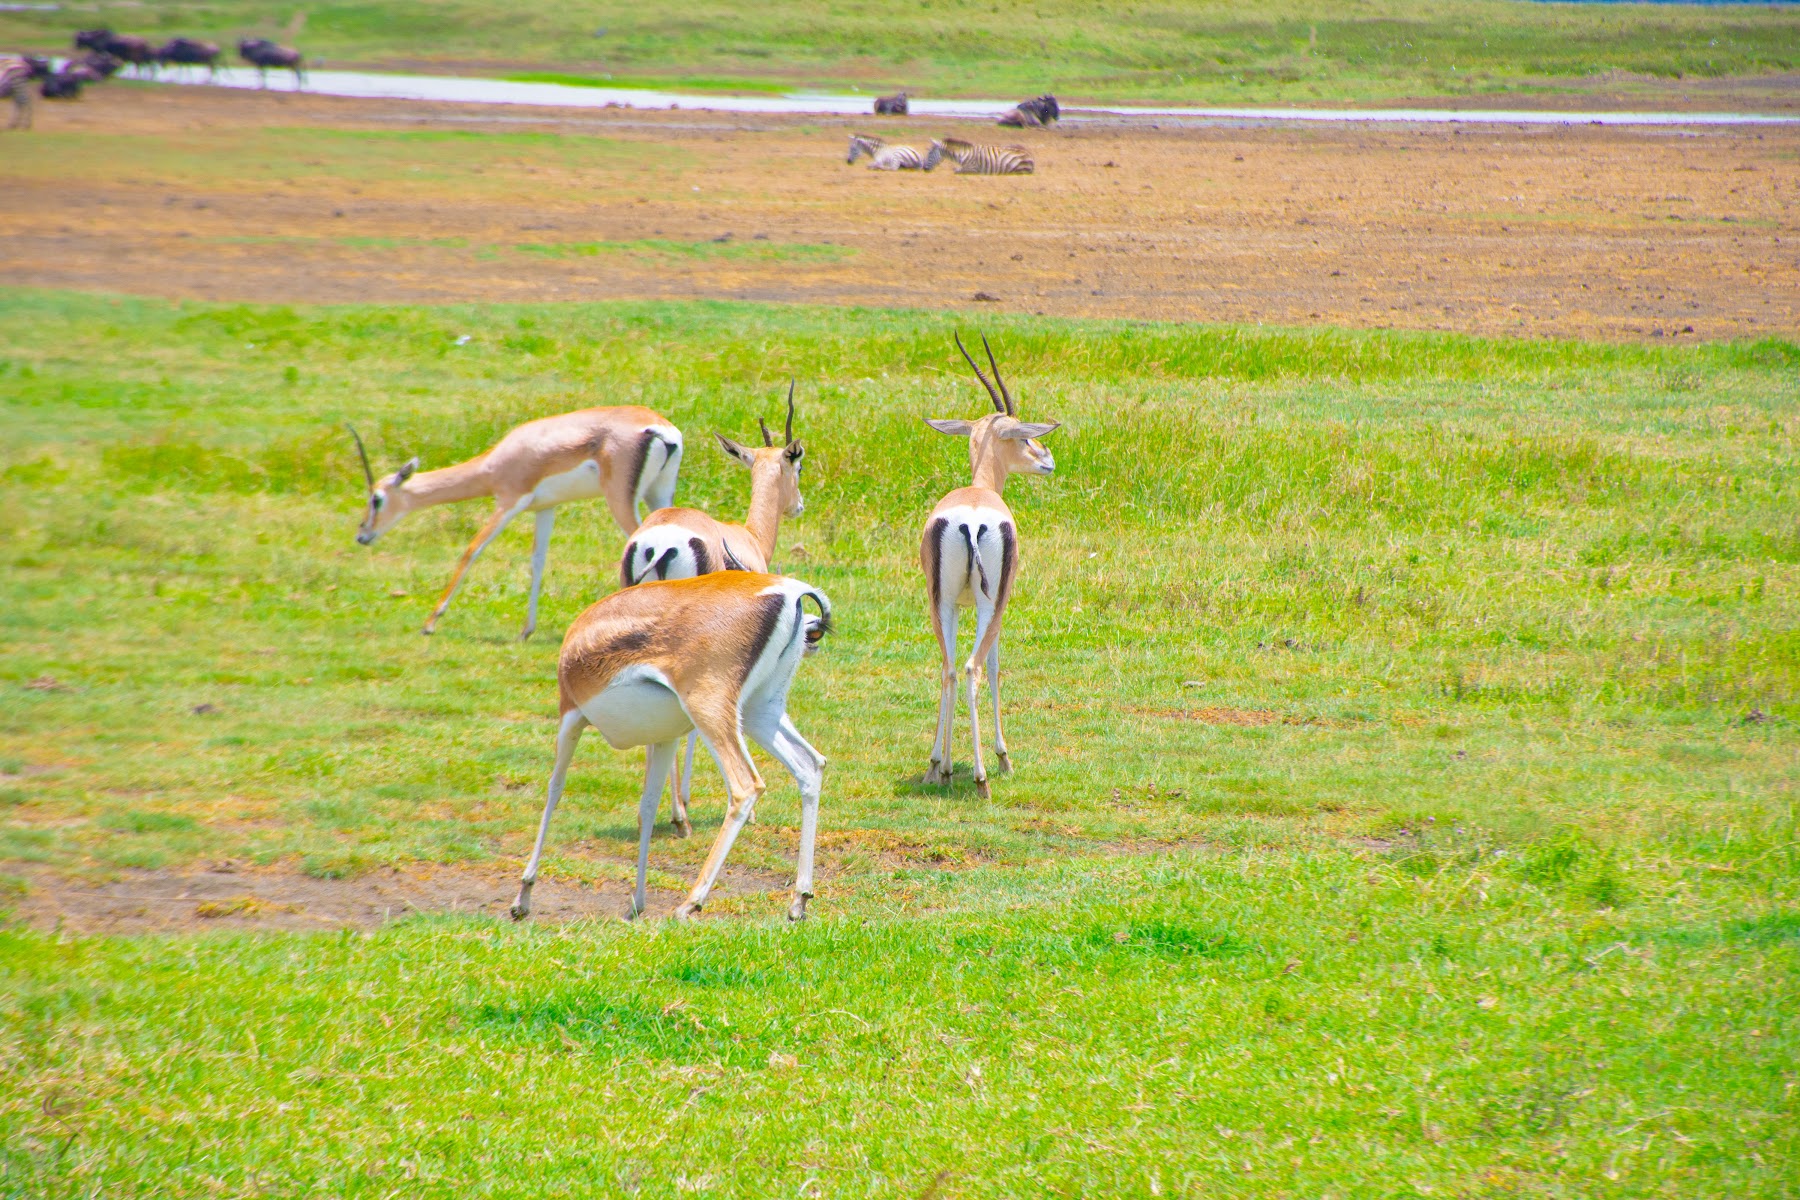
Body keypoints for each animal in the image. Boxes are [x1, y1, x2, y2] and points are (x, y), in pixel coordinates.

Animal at [350, 407, 683, 640]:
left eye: (376, 499)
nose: (363, 535)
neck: (499, 459)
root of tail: (659, 428)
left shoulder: (509, 500)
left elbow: (473, 549)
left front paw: (430, 623)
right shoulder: (546, 507)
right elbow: (537, 562)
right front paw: (526, 630)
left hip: (620, 499)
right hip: (659, 495)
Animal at [510, 571, 832, 923]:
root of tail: (789, 590)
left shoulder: (571, 715)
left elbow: (554, 790)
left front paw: (523, 896)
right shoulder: (666, 738)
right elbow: (648, 806)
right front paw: (636, 903)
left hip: (710, 712)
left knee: (745, 787)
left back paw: (690, 903)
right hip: (760, 712)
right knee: (811, 765)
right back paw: (799, 901)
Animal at [920, 334, 1059, 797]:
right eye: (1023, 438)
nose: (1047, 459)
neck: (980, 489)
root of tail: (971, 519)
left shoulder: (956, 604)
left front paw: (940, 764)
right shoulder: (1000, 603)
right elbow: (997, 667)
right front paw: (1003, 758)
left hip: (941, 603)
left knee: (948, 668)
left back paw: (940, 768)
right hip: (987, 604)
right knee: (973, 668)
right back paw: (982, 777)